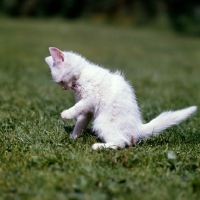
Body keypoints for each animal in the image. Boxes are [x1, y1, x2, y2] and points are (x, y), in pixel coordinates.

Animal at [44, 47, 196, 150]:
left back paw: (99, 146)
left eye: (61, 82)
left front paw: (66, 114)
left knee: (123, 143)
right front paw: (73, 137)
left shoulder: (90, 98)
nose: (64, 88)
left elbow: (77, 107)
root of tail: (137, 129)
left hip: (102, 123)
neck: (82, 74)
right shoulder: (88, 110)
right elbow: (81, 121)